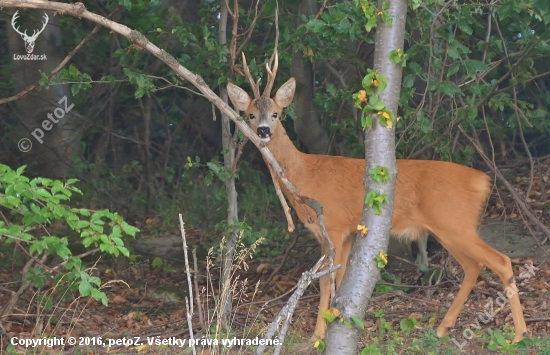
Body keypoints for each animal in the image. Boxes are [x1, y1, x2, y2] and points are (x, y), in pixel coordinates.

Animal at [229, 53, 532, 344]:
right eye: (251, 114)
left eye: (276, 114)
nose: (263, 131)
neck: (304, 175)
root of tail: (482, 181)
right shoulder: (348, 231)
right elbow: (340, 277)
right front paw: (334, 323)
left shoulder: (333, 225)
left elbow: (327, 280)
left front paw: (318, 335)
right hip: (449, 228)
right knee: (473, 266)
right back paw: (443, 328)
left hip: (455, 222)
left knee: (501, 261)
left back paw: (519, 334)